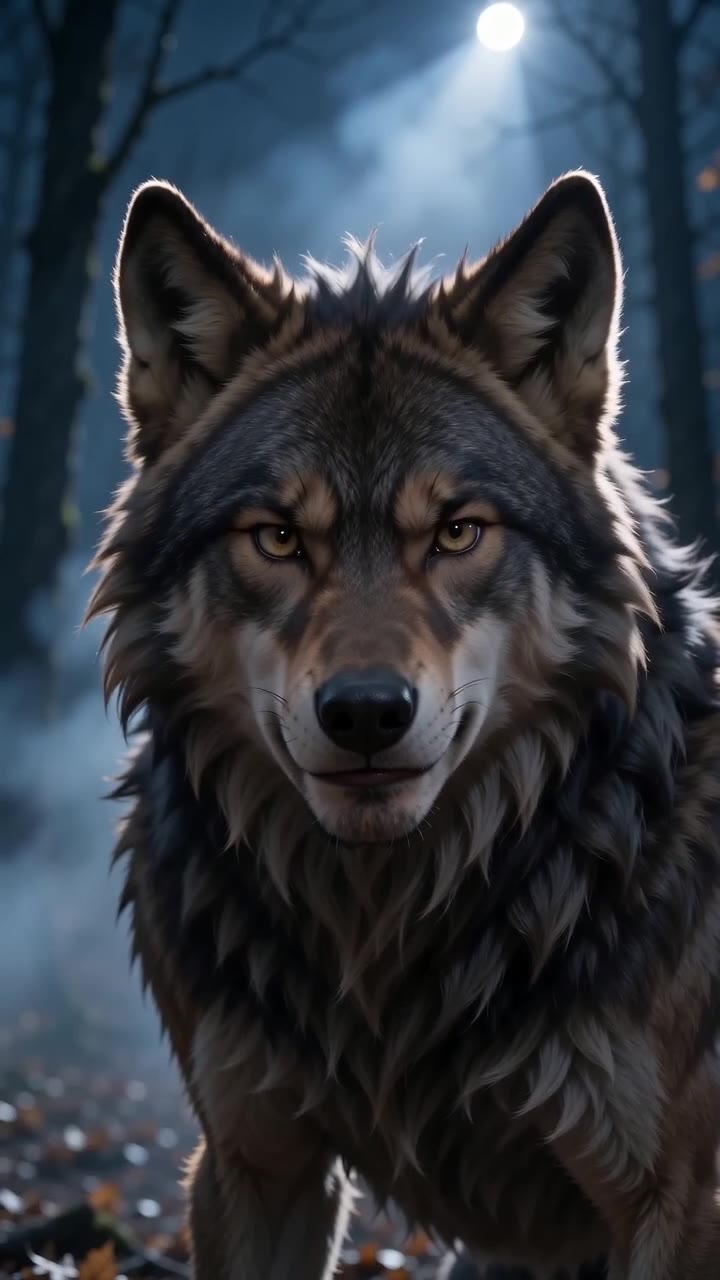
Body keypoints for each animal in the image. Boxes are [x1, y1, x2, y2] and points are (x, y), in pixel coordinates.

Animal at [88, 170, 720, 1280]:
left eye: (458, 531)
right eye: (278, 537)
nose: (367, 713)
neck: (389, 924)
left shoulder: (675, 1203)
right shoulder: (252, 1162)